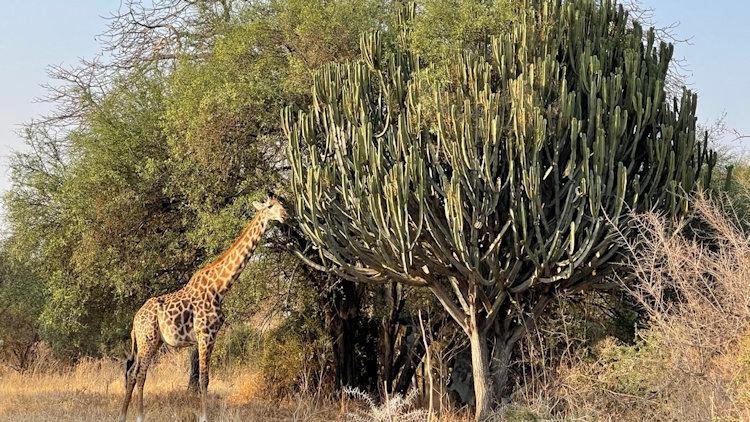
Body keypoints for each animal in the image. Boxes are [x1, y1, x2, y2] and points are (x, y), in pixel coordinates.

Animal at [117, 198, 288, 422]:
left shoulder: (212, 335)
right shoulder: (205, 333)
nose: (285, 216)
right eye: (270, 206)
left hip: (153, 341)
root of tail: (135, 320)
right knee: (139, 373)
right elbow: (203, 378)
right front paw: (204, 416)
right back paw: (139, 416)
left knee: (132, 372)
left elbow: (205, 377)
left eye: (281, 203)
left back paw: (122, 415)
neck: (220, 287)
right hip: (148, 339)